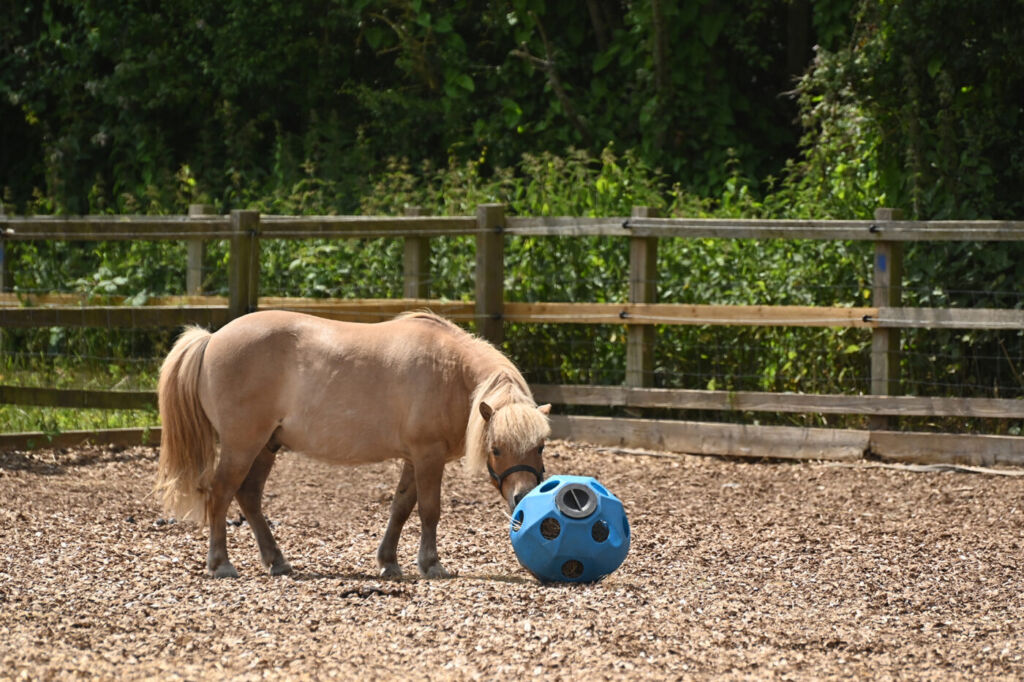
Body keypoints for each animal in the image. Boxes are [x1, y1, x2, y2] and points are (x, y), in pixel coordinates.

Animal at [155, 310, 551, 579]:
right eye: (495, 448)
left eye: (540, 447)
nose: (524, 496)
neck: (450, 372)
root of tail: (212, 338)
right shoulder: (428, 455)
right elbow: (429, 510)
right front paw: (431, 564)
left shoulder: (414, 457)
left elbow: (400, 508)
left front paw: (389, 562)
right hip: (242, 445)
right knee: (221, 493)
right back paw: (221, 563)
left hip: (265, 446)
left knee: (248, 496)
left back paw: (277, 560)